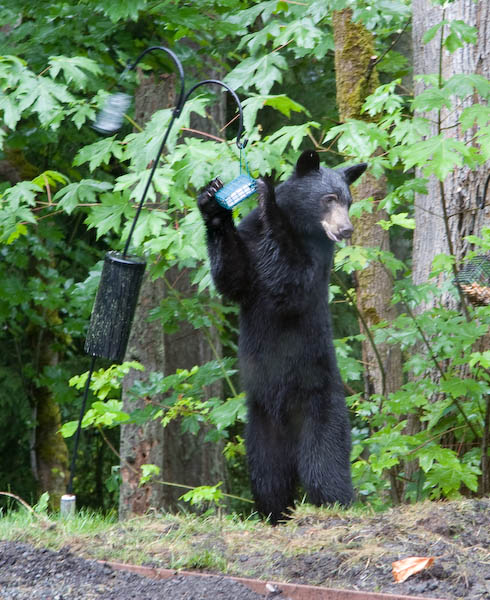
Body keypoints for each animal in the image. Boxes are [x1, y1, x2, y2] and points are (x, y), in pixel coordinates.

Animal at [197, 151, 366, 524]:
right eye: (329, 198)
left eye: (348, 201)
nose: (346, 229)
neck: (299, 226)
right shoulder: (249, 238)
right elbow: (233, 277)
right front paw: (213, 202)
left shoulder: (316, 256)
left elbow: (291, 282)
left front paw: (267, 194)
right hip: (260, 429)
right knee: (268, 478)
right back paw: (273, 515)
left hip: (322, 411)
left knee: (324, 471)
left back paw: (337, 507)